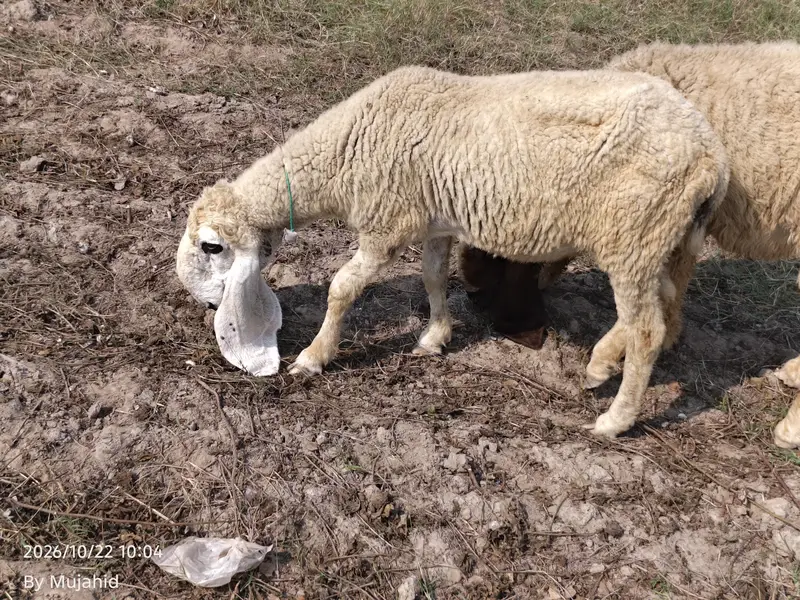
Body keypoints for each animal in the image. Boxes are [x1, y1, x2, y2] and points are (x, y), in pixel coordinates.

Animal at [175, 64, 729, 439]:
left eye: (211, 246)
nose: (208, 307)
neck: (347, 148)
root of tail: (711, 155)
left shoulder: (387, 223)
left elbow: (343, 288)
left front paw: (314, 356)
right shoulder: (435, 221)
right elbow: (434, 277)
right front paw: (434, 337)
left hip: (634, 233)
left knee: (647, 328)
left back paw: (616, 418)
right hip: (657, 238)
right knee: (660, 303)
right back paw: (599, 365)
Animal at [458, 41, 800, 446]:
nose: (472, 293)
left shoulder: (660, 225)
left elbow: (655, 304)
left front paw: (605, 361)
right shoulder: (680, 228)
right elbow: (672, 289)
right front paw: (667, 335)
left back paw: (789, 428)